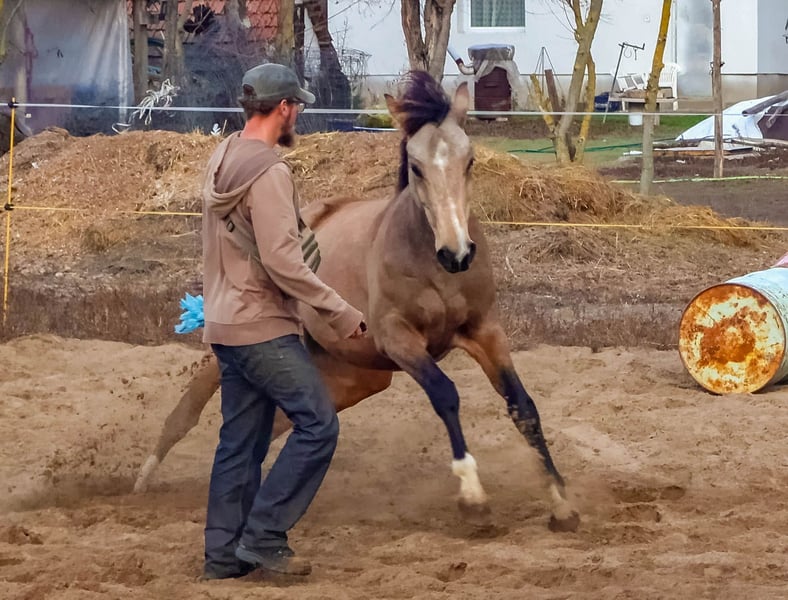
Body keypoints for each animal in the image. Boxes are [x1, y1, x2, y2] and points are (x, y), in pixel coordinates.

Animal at [134, 71, 579, 532]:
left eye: (469, 161)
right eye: (416, 167)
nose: (457, 253)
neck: (431, 265)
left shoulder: (484, 331)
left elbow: (522, 405)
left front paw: (561, 503)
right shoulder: (399, 340)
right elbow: (446, 395)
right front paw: (473, 495)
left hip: (355, 376)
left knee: (280, 423)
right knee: (192, 405)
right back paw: (144, 481)